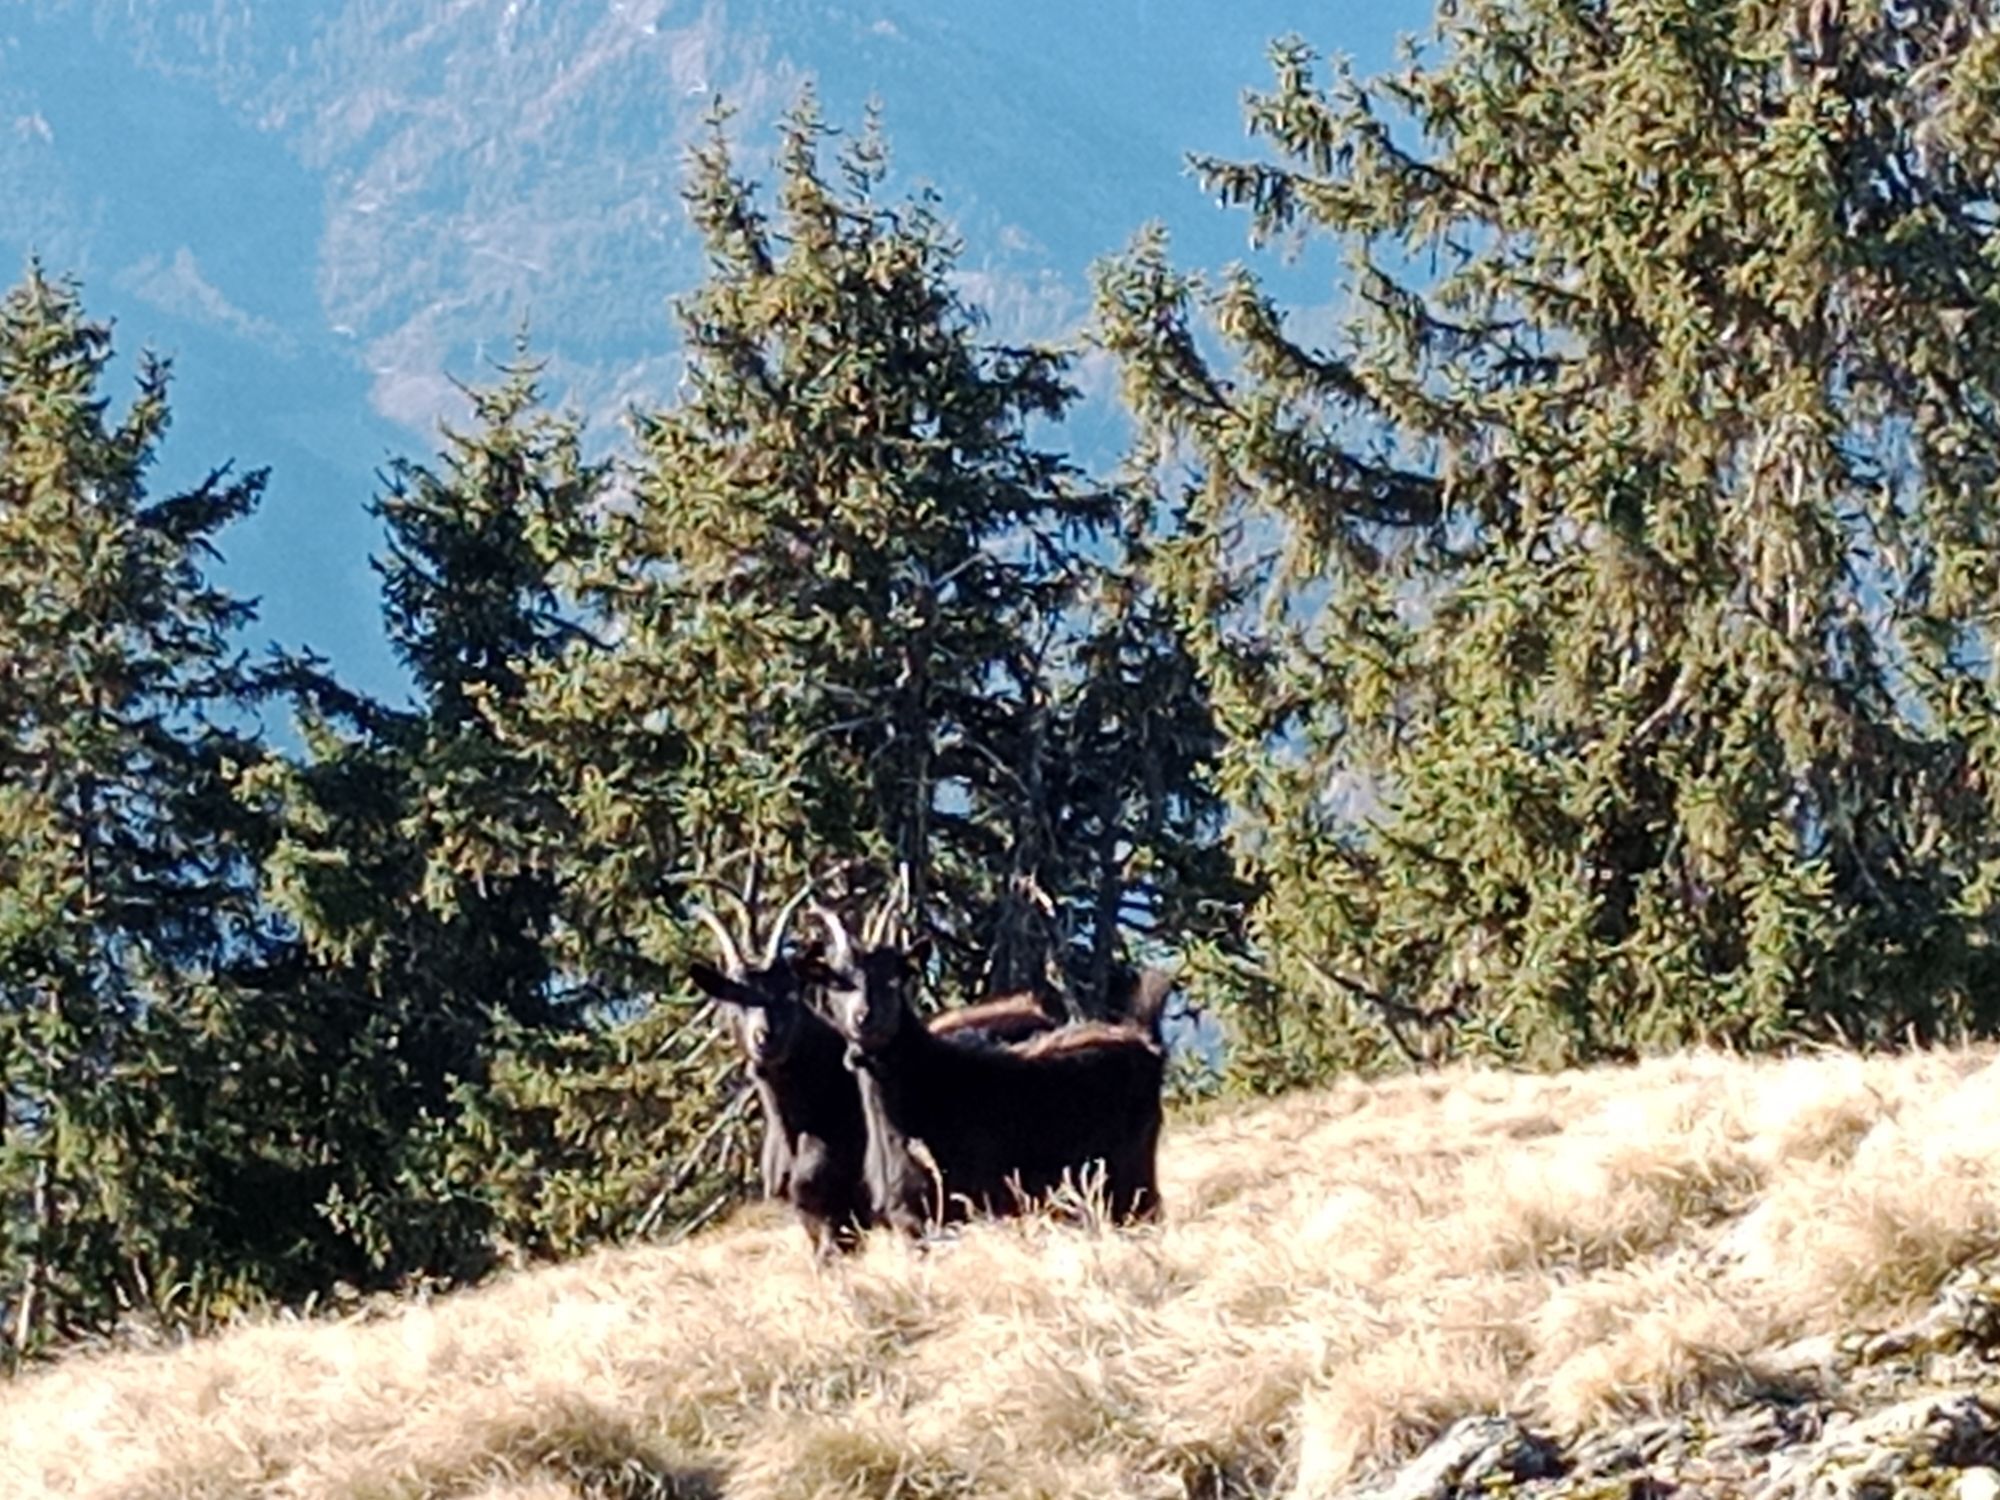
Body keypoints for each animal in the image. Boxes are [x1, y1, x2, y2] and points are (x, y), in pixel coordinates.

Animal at [803, 908, 1172, 1234]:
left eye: (895, 980)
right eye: (839, 983)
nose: (865, 1018)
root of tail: (1146, 1041)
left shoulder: (955, 1205)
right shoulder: (908, 1218)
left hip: (1129, 1177)